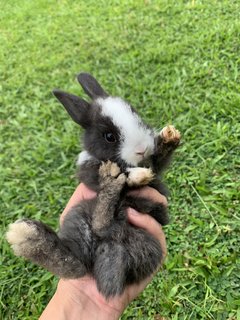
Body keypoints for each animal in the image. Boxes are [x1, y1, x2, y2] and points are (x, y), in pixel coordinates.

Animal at [6, 72, 180, 298]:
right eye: (109, 136)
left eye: (136, 114)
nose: (141, 149)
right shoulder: (88, 171)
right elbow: (106, 176)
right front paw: (135, 175)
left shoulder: (155, 167)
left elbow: (159, 161)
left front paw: (169, 137)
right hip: (81, 218)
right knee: (92, 237)